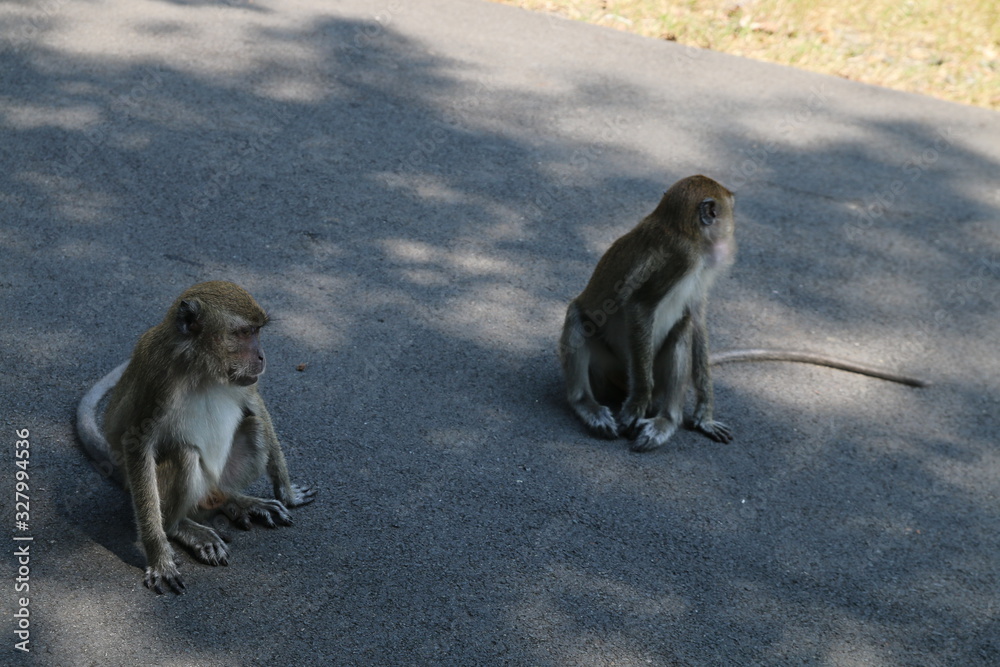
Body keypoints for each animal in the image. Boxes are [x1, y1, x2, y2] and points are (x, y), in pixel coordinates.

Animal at [76, 281, 316, 594]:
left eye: (258, 331)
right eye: (244, 333)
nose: (262, 356)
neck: (201, 367)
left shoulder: (243, 380)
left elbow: (257, 407)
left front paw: (288, 494)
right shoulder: (159, 377)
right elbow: (138, 444)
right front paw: (159, 557)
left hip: (219, 481)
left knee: (255, 427)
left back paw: (236, 501)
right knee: (184, 455)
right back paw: (181, 528)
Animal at [559, 175, 927, 453]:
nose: (733, 226)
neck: (682, 228)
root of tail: (618, 381)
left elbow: (696, 317)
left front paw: (704, 415)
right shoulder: (682, 257)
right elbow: (641, 307)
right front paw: (636, 403)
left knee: (683, 328)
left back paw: (667, 420)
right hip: (611, 368)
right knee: (579, 319)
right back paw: (587, 405)